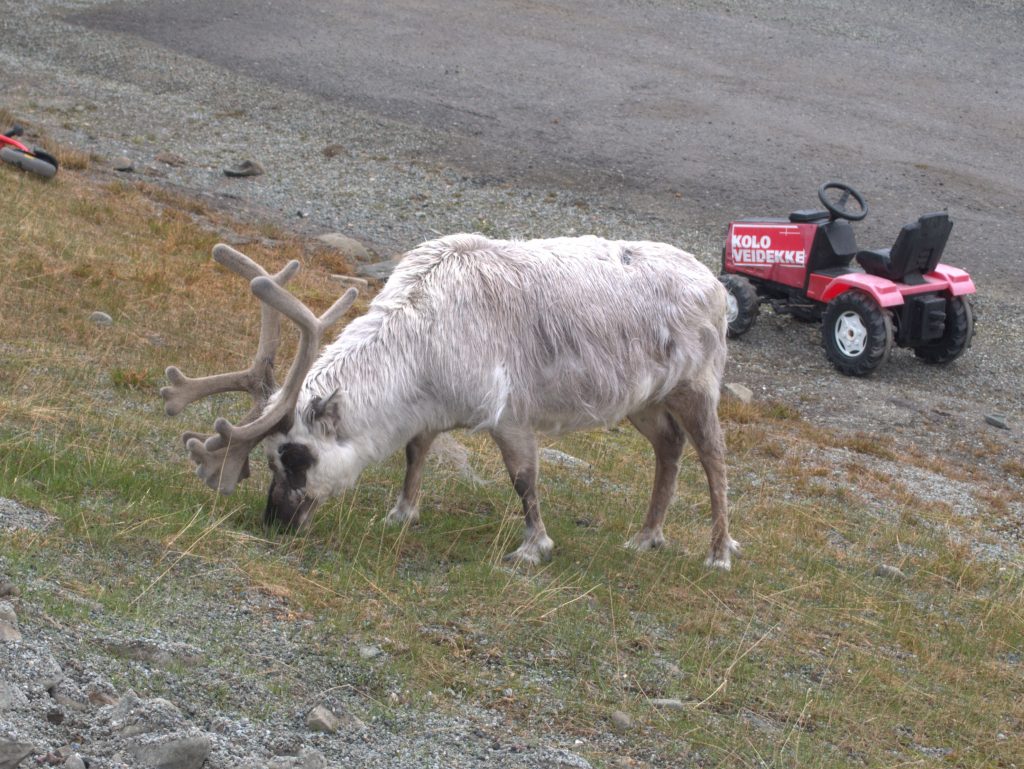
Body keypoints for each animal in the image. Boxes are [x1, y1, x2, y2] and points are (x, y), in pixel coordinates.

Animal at [162, 234, 740, 569]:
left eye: (296, 456)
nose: (276, 521)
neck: (420, 349)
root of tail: (715, 286)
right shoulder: (430, 413)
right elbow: (415, 454)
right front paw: (401, 513)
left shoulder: (510, 416)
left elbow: (524, 481)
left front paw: (533, 547)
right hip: (645, 400)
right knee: (669, 448)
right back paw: (646, 537)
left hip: (697, 385)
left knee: (714, 458)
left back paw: (717, 552)